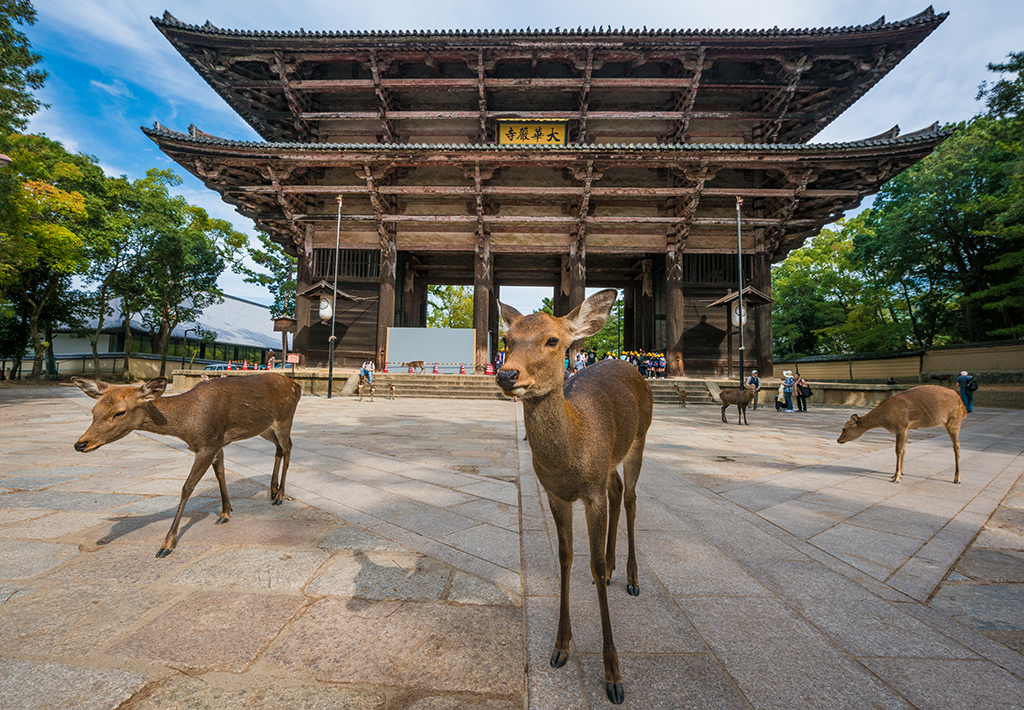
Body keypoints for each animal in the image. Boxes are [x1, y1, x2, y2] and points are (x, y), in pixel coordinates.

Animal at [71, 373, 302, 557]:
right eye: (94, 410)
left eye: (120, 412)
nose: (80, 444)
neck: (187, 424)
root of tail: (297, 386)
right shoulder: (216, 443)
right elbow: (220, 473)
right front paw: (225, 513)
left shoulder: (207, 445)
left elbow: (187, 487)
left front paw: (166, 544)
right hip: (264, 428)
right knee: (278, 449)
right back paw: (272, 491)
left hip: (284, 419)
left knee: (289, 447)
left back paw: (280, 496)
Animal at [496, 289, 653, 705]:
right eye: (506, 339)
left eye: (553, 340)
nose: (506, 374)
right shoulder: (556, 493)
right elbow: (565, 558)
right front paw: (560, 646)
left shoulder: (591, 492)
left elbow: (592, 565)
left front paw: (614, 676)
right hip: (609, 463)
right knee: (618, 490)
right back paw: (615, 568)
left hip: (640, 438)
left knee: (631, 497)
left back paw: (630, 576)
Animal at [837, 385, 967, 484]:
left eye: (844, 429)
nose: (838, 440)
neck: (884, 420)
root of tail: (964, 409)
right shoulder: (906, 429)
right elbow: (904, 449)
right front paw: (899, 474)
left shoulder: (900, 426)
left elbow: (898, 450)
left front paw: (896, 478)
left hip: (954, 421)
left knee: (957, 445)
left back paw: (957, 478)